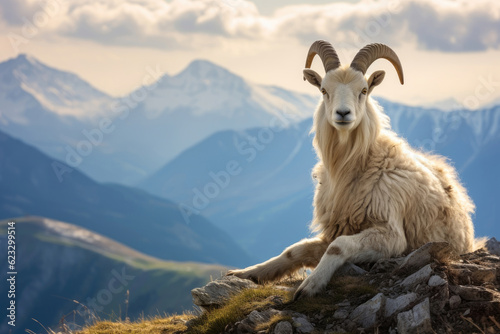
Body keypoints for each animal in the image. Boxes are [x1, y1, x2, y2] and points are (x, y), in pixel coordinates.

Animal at [229, 41, 478, 300]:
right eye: (324, 90)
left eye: (364, 90)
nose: (343, 113)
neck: (356, 168)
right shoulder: (337, 228)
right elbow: (295, 250)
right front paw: (248, 273)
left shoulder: (391, 235)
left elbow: (338, 246)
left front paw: (310, 285)